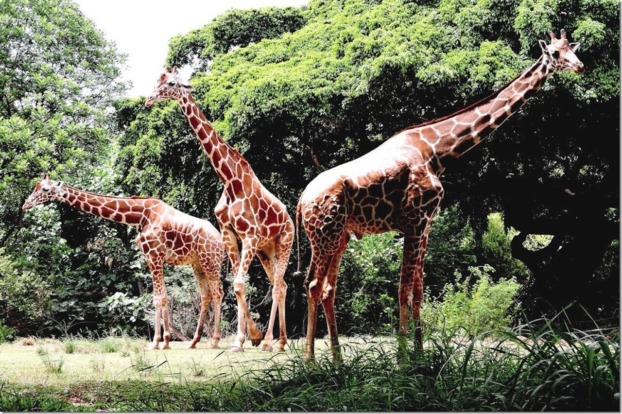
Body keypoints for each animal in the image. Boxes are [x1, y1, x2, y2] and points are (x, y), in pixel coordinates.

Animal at [23, 173, 227, 350]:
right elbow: (163, 296)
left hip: (210, 260)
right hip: (197, 264)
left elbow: (158, 297)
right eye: (35, 187)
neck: (139, 216)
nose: (25, 204)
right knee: (205, 295)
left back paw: (215, 341)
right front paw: (166, 341)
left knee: (218, 292)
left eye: (46, 189)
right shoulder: (154, 258)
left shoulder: (154, 256)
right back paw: (194, 341)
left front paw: (157, 342)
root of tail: (219, 239)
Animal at [146, 68, 294, 352]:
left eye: (171, 83)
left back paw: (271, 342)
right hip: (266, 251)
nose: (149, 100)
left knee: (279, 286)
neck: (230, 179)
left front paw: (254, 336)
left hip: (284, 242)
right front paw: (241, 340)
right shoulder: (230, 235)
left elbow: (238, 284)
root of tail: (290, 218)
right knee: (280, 283)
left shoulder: (250, 235)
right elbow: (237, 285)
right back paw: (280, 341)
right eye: (158, 80)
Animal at [300, 30, 588, 360]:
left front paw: (420, 355)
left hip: (341, 236)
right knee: (312, 284)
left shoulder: (426, 225)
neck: (436, 152)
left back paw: (337, 361)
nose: (579, 66)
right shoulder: (414, 222)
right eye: (554, 53)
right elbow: (402, 288)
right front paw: (402, 359)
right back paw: (310, 362)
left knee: (327, 288)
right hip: (324, 233)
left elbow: (418, 290)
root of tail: (301, 201)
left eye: (571, 49)